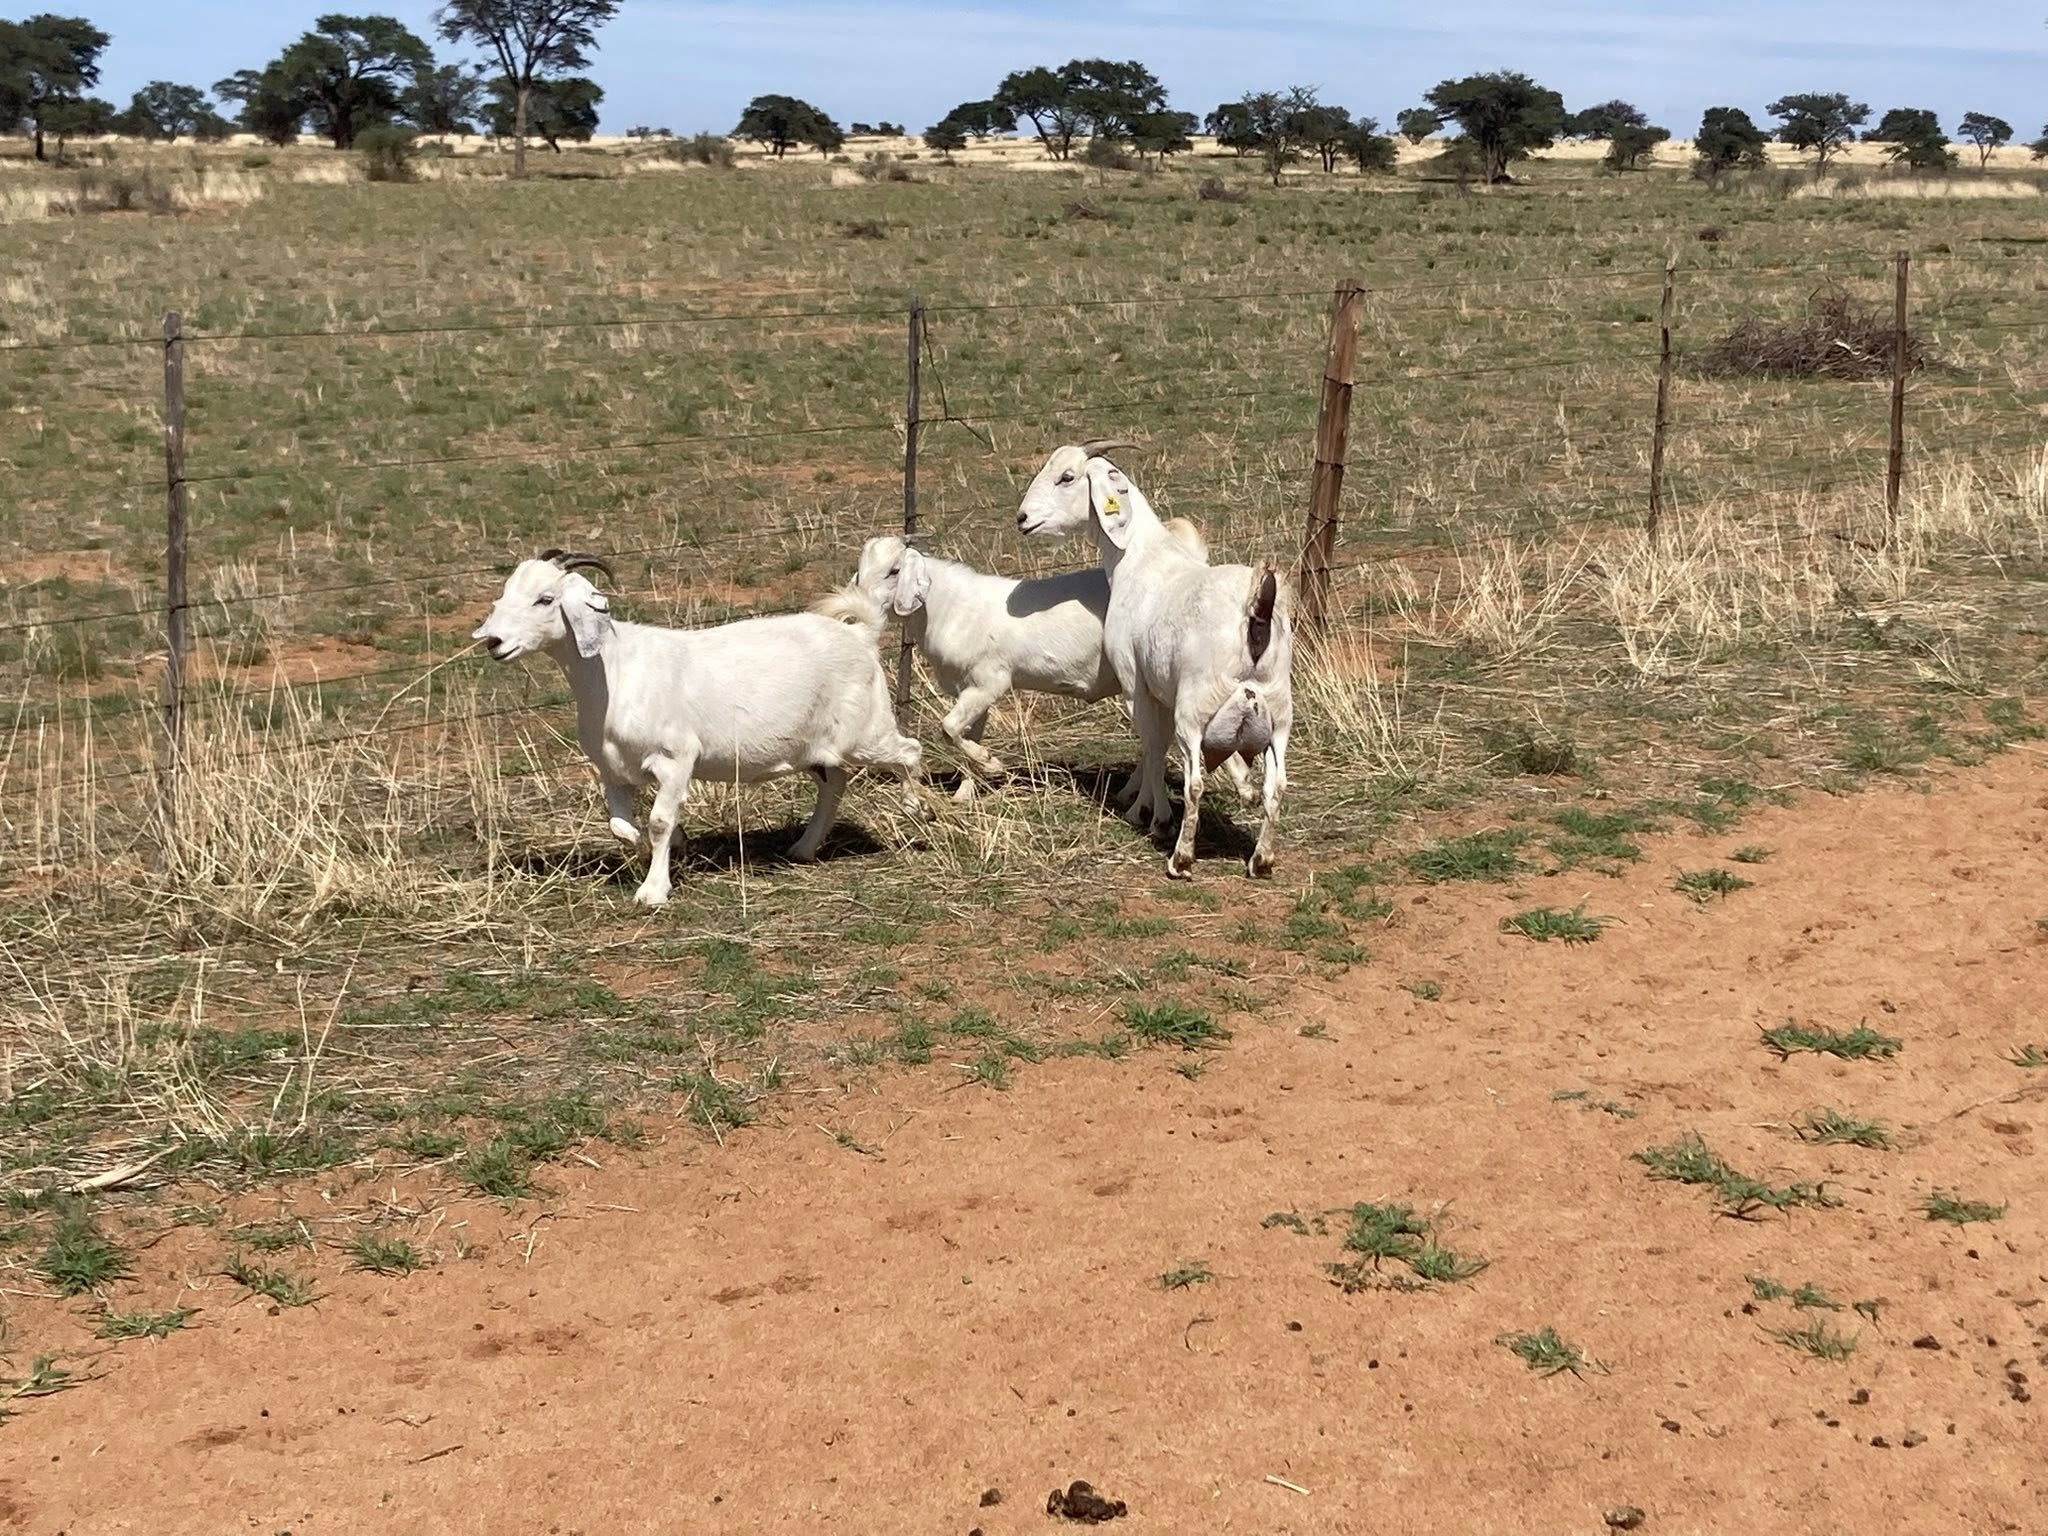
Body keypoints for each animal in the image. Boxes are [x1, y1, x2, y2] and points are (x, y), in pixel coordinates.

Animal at [473, 551, 922, 908]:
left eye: (545, 599)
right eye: (506, 592)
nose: (494, 642)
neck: (614, 672)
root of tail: (860, 634)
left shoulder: (676, 758)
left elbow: (657, 820)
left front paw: (653, 891)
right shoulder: (613, 770)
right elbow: (621, 827)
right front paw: (672, 844)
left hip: (866, 733)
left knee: (909, 751)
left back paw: (917, 814)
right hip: (815, 747)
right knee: (835, 783)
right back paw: (804, 848)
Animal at [1016, 445, 1292, 878]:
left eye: (1067, 477)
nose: (1023, 519)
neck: (1139, 558)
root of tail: (1256, 605)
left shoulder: (1135, 681)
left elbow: (1152, 743)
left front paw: (1151, 815)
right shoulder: (1160, 688)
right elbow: (1155, 747)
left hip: (1195, 709)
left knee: (1195, 783)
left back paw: (1181, 858)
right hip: (1279, 714)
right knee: (1276, 787)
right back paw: (1261, 860)